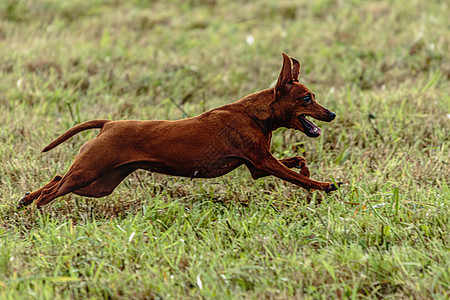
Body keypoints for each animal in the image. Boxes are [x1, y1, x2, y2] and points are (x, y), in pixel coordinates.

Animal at [18, 53, 342, 209]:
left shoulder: (257, 167)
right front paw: (324, 185)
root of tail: (109, 124)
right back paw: (36, 211)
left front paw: (308, 173)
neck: (255, 113)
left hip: (99, 184)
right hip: (88, 173)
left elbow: (299, 162)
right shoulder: (264, 162)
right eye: (306, 99)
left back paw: (26, 199)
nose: (332, 114)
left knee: (56, 179)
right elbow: (298, 178)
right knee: (53, 191)